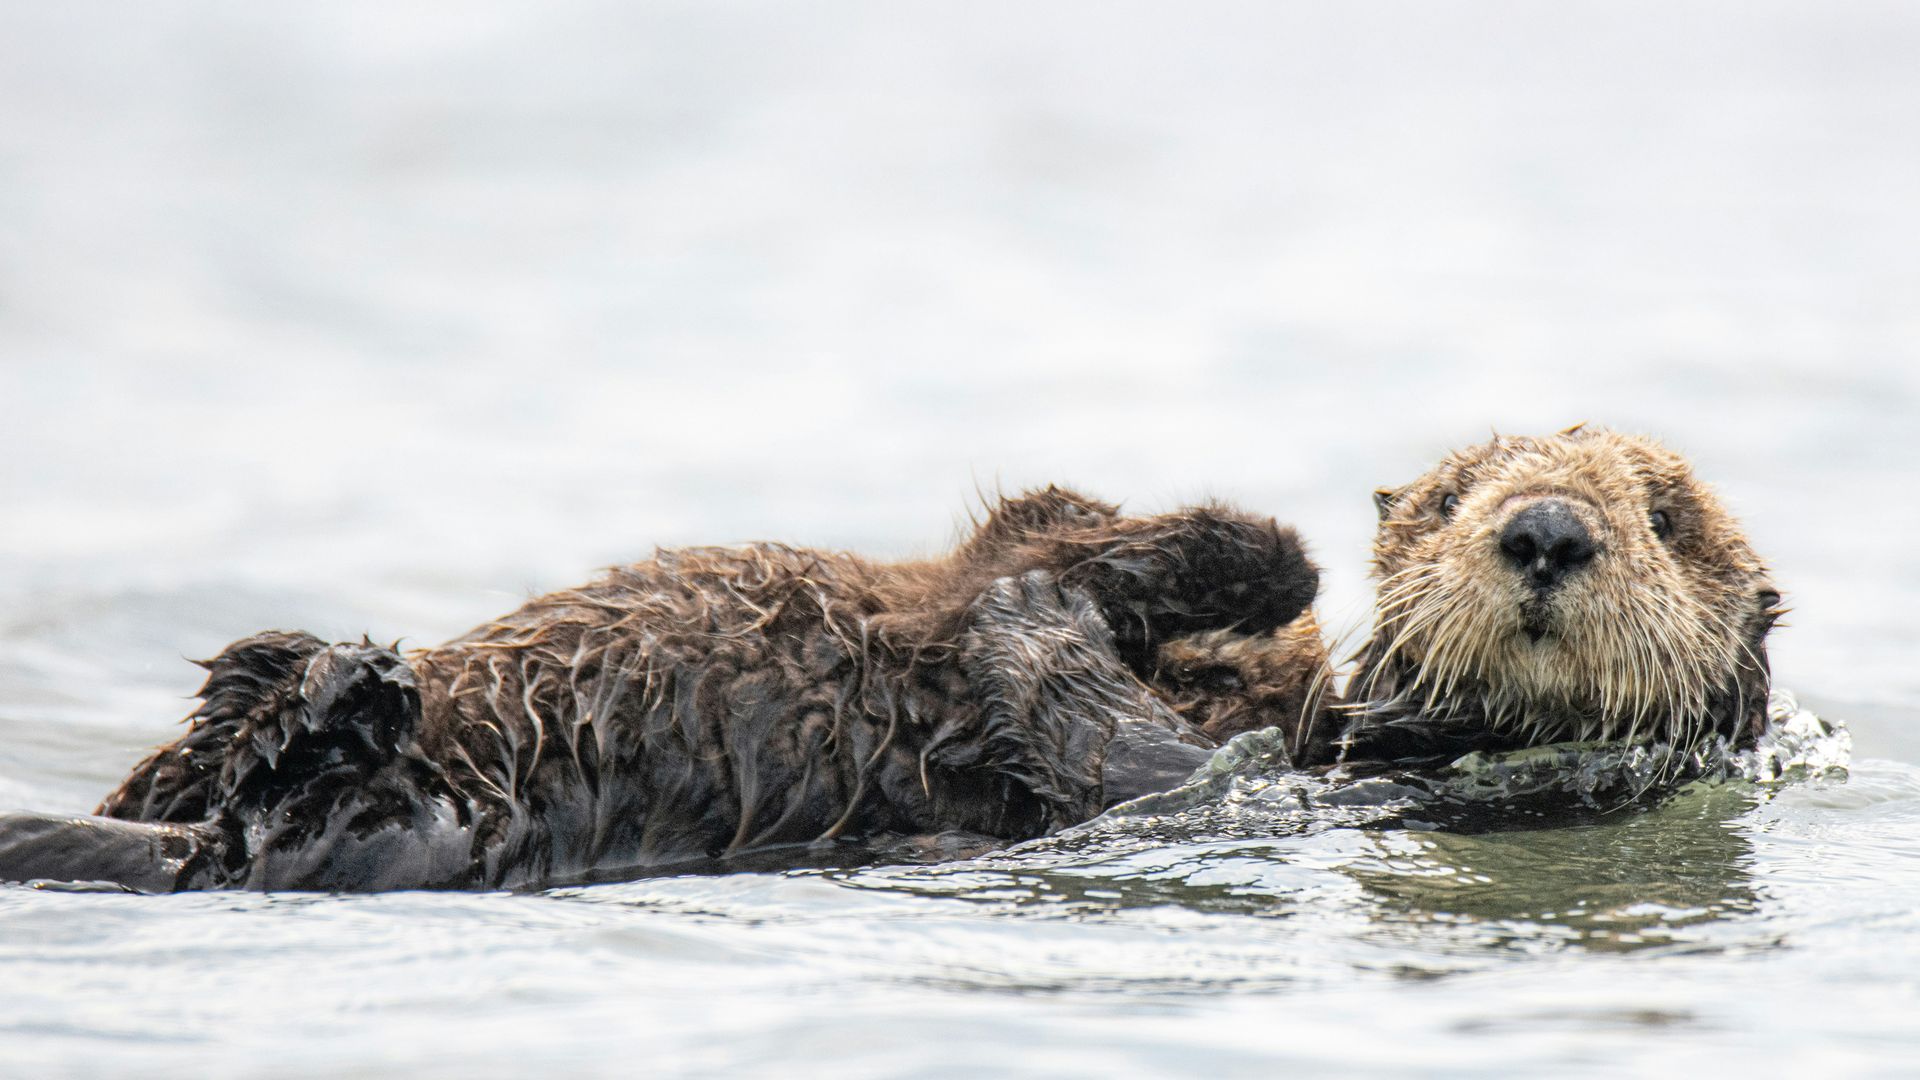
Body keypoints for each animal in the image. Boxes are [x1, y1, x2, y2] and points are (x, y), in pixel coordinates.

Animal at [0, 490, 1320, 891]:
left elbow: (1134, 742)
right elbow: (1045, 527)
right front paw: (1268, 557)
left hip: (395, 829)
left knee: (280, 803)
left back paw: (347, 686)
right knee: (196, 756)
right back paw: (317, 662)